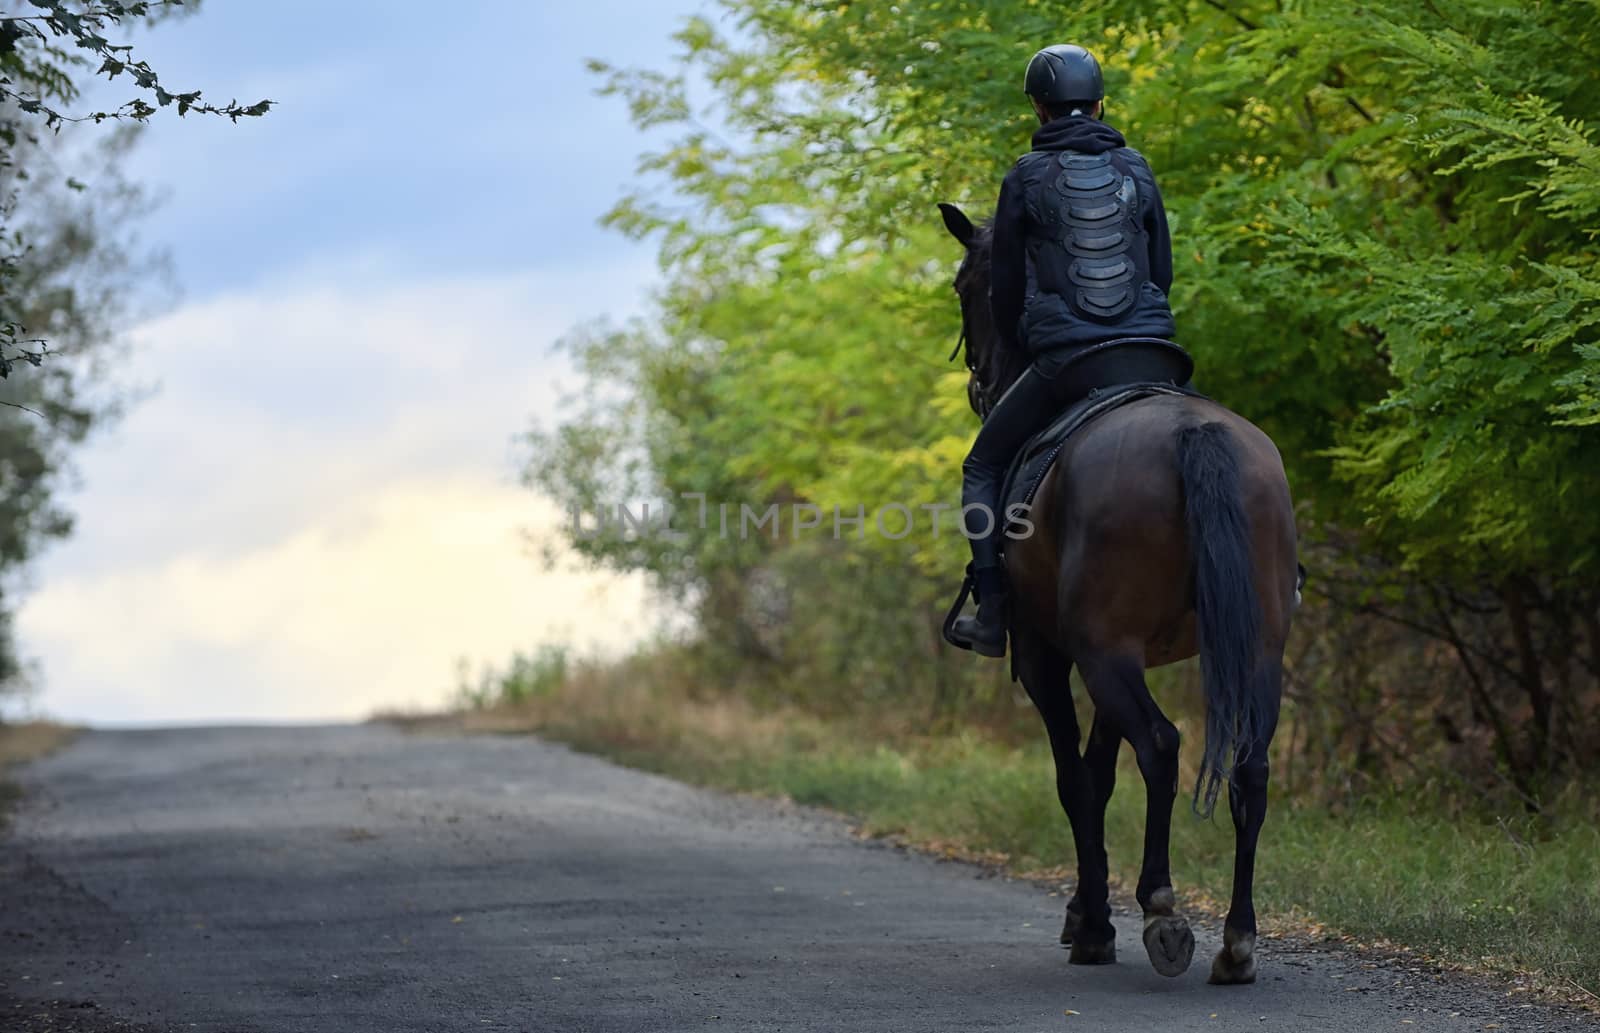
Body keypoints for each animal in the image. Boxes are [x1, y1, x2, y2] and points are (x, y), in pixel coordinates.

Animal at [934, 204, 1299, 985]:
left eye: (966, 284)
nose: (981, 385)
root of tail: (1197, 431)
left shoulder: (1050, 655)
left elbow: (1076, 778)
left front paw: (1094, 925)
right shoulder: (1112, 655)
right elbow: (1100, 772)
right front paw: (1084, 913)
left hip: (1104, 654)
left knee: (1160, 746)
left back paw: (1162, 911)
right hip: (1252, 651)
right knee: (1248, 770)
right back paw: (1236, 943)